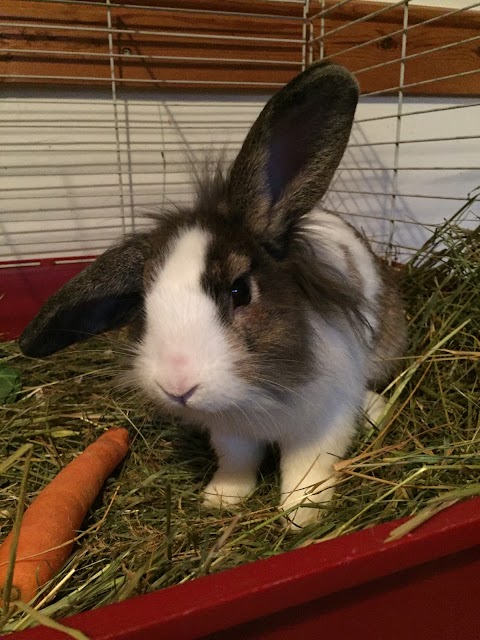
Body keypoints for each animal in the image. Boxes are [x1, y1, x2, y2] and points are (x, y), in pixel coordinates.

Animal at [20, 62, 406, 528]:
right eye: (143, 302)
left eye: (240, 291)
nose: (177, 385)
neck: (256, 396)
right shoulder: (230, 432)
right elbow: (237, 462)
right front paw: (220, 499)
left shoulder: (322, 422)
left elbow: (306, 469)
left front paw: (300, 515)